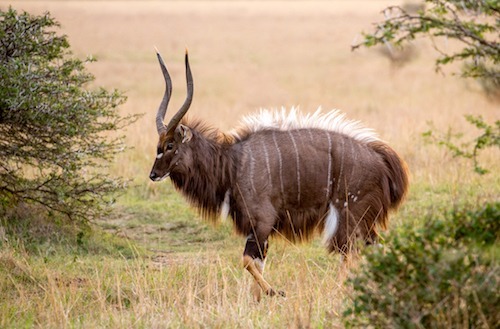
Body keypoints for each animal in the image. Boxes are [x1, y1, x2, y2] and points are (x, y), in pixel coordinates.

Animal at [149, 50, 410, 298]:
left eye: (170, 145)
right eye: (158, 145)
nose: (153, 174)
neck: (232, 164)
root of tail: (384, 161)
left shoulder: (262, 222)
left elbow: (247, 261)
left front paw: (275, 292)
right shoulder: (258, 230)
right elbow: (257, 263)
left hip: (350, 215)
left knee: (350, 252)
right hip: (363, 222)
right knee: (372, 248)